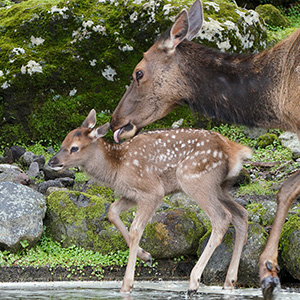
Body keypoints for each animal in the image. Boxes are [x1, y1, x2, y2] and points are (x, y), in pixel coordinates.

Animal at [49, 109, 253, 294]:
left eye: (74, 148)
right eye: (63, 142)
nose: (52, 162)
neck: (117, 168)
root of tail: (235, 152)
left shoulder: (153, 191)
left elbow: (135, 229)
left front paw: (127, 284)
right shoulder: (132, 194)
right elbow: (112, 211)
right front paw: (146, 255)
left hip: (195, 179)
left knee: (221, 217)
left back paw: (194, 282)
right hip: (220, 188)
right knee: (241, 214)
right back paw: (229, 281)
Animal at [110, 0, 300, 298]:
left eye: (138, 72)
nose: (115, 121)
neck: (277, 98)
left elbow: (286, 189)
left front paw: (268, 269)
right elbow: (286, 189)